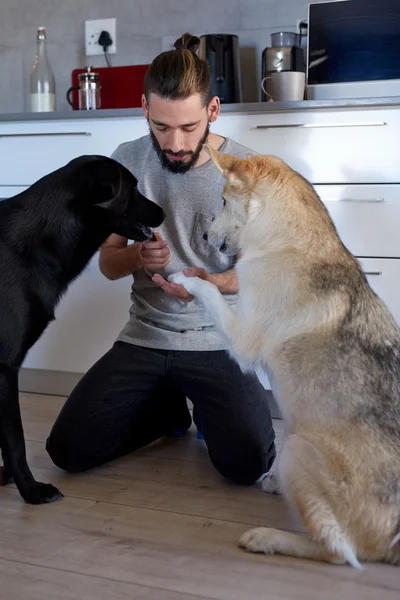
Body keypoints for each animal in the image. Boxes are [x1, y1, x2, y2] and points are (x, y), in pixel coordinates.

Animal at [169, 145, 400, 568]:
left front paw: (183, 279)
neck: (286, 239)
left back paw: (267, 538)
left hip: (296, 449)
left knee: (338, 551)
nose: (206, 236)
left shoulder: (242, 337)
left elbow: (209, 291)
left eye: (222, 200)